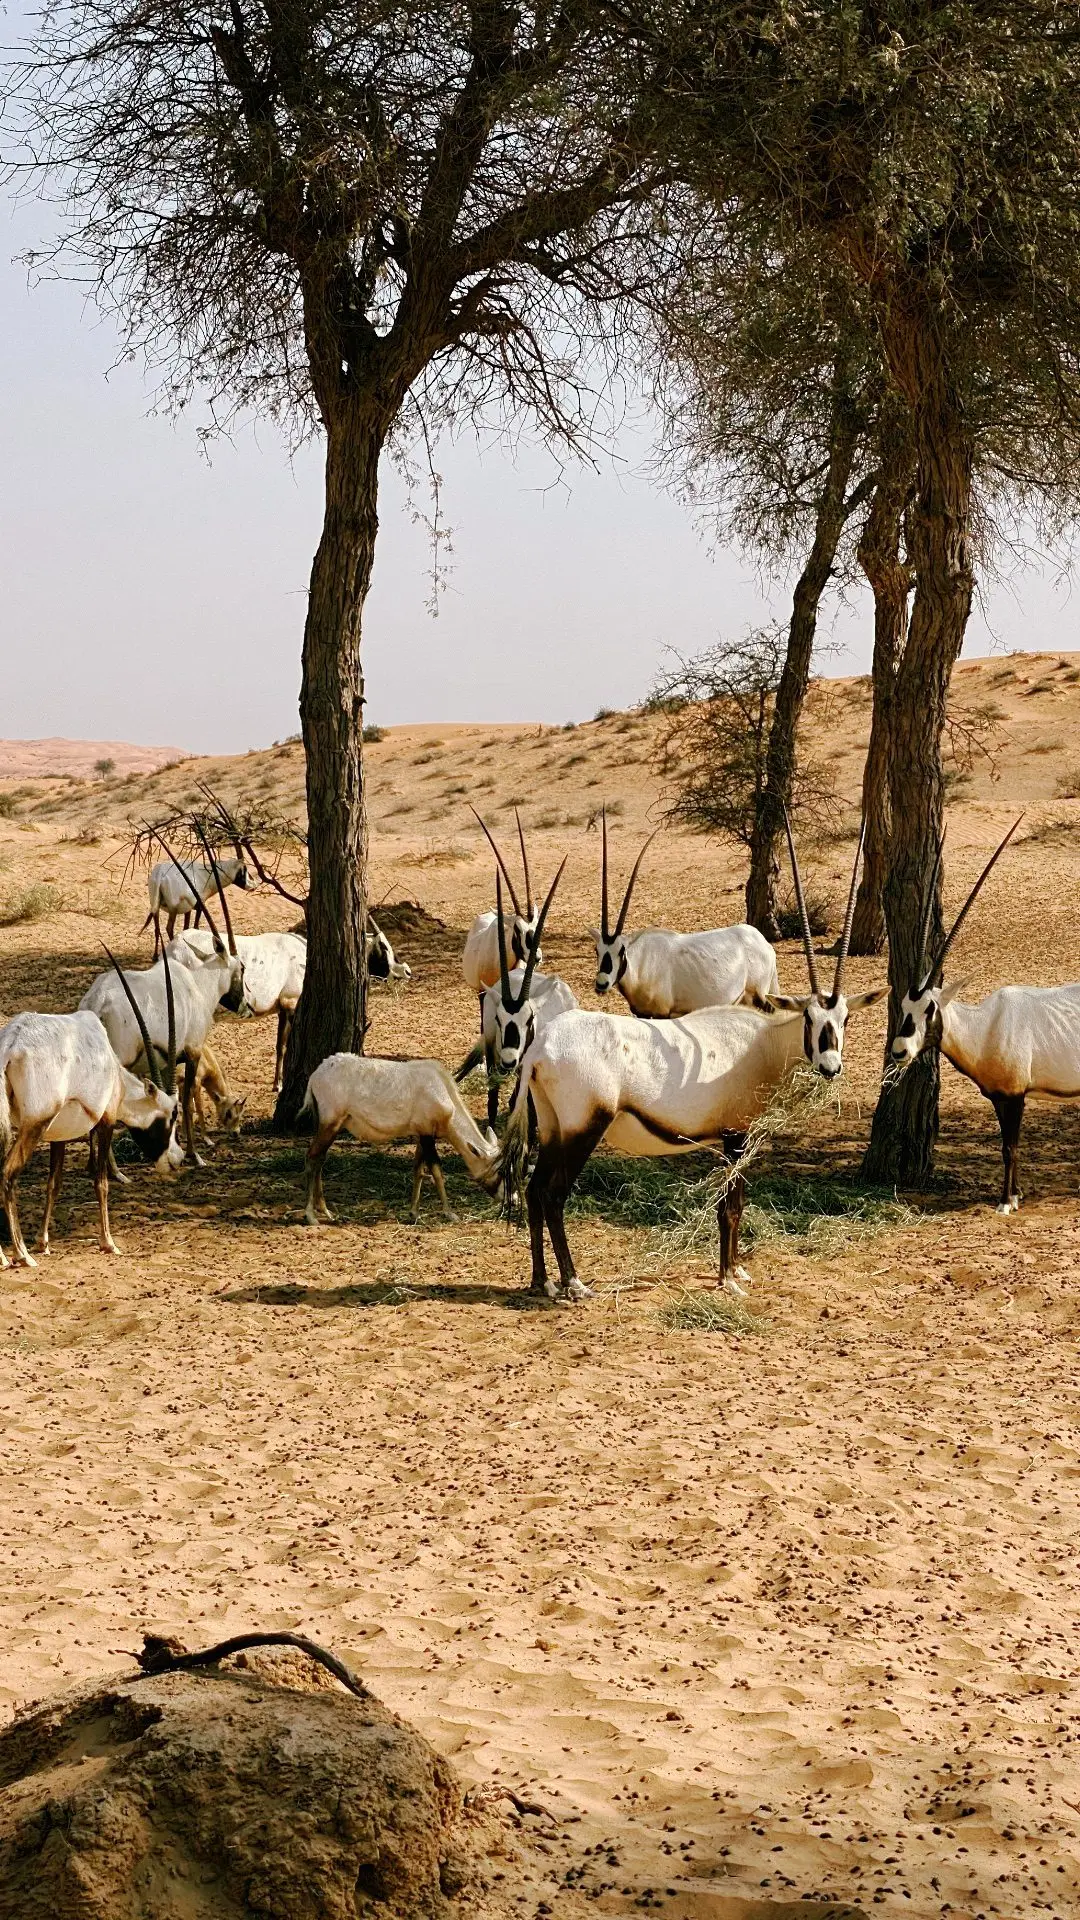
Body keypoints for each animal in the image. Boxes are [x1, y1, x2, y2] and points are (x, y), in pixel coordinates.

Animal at [0, 952, 183, 1268]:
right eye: (171, 1116)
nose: (176, 1158)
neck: (115, 1071)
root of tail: (11, 1045)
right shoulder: (105, 1121)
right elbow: (101, 1181)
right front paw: (108, 1242)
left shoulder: (58, 1136)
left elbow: (54, 1183)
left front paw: (44, 1242)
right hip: (33, 1125)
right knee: (8, 1176)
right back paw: (22, 1255)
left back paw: (4, 1256)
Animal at [301, 1055, 500, 1225]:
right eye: (498, 1171)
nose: (505, 1198)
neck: (442, 1090)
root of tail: (316, 1075)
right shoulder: (427, 1134)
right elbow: (436, 1170)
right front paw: (450, 1213)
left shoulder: (421, 1134)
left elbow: (418, 1170)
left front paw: (414, 1213)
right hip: (330, 1123)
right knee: (312, 1156)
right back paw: (311, 1216)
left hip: (329, 1126)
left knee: (320, 1159)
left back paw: (326, 1212)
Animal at [456, 864, 574, 1126]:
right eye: (498, 1020)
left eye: (529, 1020)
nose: (509, 1060)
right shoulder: (493, 1050)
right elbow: (492, 1099)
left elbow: (525, 1103)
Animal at [592, 812, 779, 1015]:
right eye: (597, 950)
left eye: (621, 951)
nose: (601, 984)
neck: (639, 962)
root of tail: (763, 943)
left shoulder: (662, 1014)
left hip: (760, 996)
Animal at [888, 815, 1074, 1214]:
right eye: (904, 1006)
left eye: (929, 1008)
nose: (899, 1051)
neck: (985, 1028)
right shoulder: (1001, 1099)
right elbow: (1009, 1145)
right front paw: (1016, 1195)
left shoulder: (1015, 1097)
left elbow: (1009, 1148)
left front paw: (1005, 1202)